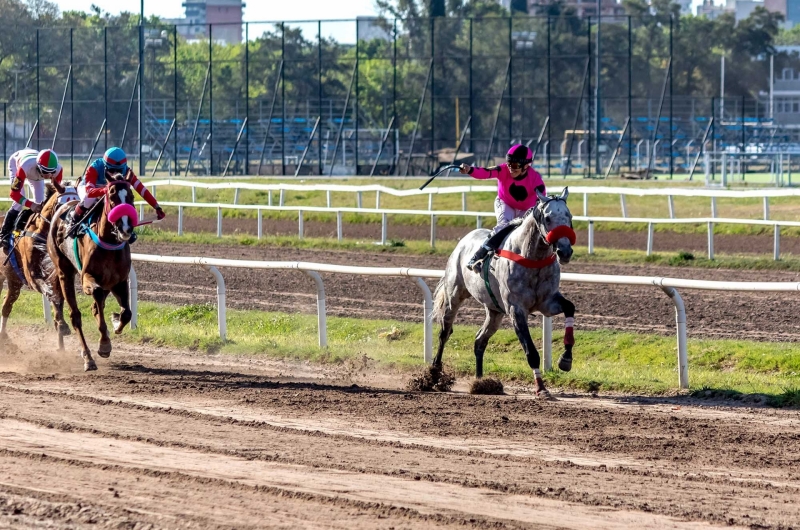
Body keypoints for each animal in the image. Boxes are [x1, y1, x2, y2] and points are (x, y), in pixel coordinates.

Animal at [0, 182, 74, 346]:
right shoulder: (32, 275)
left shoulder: (56, 273)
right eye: (62, 205)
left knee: (6, 305)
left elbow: (58, 298)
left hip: (13, 281)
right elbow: (50, 292)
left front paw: (61, 326)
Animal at [48, 175, 137, 370]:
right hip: (64, 272)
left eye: (131, 196)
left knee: (97, 307)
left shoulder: (119, 281)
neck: (109, 242)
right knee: (75, 316)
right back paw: (88, 358)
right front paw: (104, 344)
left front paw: (116, 322)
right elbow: (95, 295)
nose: (126, 229)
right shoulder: (88, 278)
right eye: (112, 197)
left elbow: (127, 313)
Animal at [432, 188, 576, 394]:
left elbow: (570, 307)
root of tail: (463, 241)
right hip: (455, 295)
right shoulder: (516, 309)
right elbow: (531, 351)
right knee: (445, 332)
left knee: (480, 340)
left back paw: (480, 381)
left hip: (494, 311)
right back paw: (434, 372)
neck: (533, 258)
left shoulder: (547, 302)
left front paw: (566, 359)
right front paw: (541, 388)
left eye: (569, 216)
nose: (565, 251)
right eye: (548, 218)